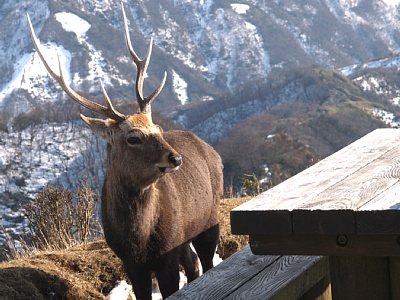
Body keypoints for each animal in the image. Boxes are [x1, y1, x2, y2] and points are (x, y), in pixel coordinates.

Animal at [27, 3, 223, 298]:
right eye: (133, 138)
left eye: (158, 128)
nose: (176, 157)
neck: (138, 239)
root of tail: (212, 151)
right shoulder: (129, 263)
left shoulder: (167, 253)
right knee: (194, 265)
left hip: (209, 218)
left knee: (207, 261)